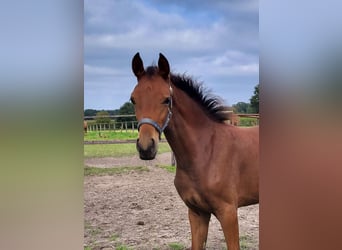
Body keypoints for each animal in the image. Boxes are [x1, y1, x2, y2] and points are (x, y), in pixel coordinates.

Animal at [130, 52, 258, 250]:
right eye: (133, 99)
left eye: (166, 99)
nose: (146, 148)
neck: (205, 153)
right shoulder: (197, 212)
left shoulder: (228, 212)